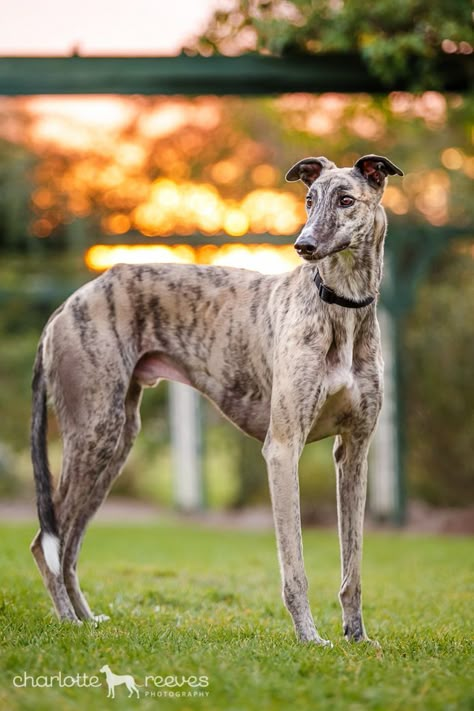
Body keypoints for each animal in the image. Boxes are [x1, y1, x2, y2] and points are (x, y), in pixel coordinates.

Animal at [31, 154, 404, 644]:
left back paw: (86, 619)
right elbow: (295, 565)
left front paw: (357, 637)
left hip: (115, 443)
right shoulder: (283, 448)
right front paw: (310, 637)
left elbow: (353, 565)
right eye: (308, 199)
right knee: (47, 544)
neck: (340, 307)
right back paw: (68, 620)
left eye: (346, 200)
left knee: (69, 545)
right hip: (94, 432)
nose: (303, 245)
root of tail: (67, 304)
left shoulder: (355, 452)